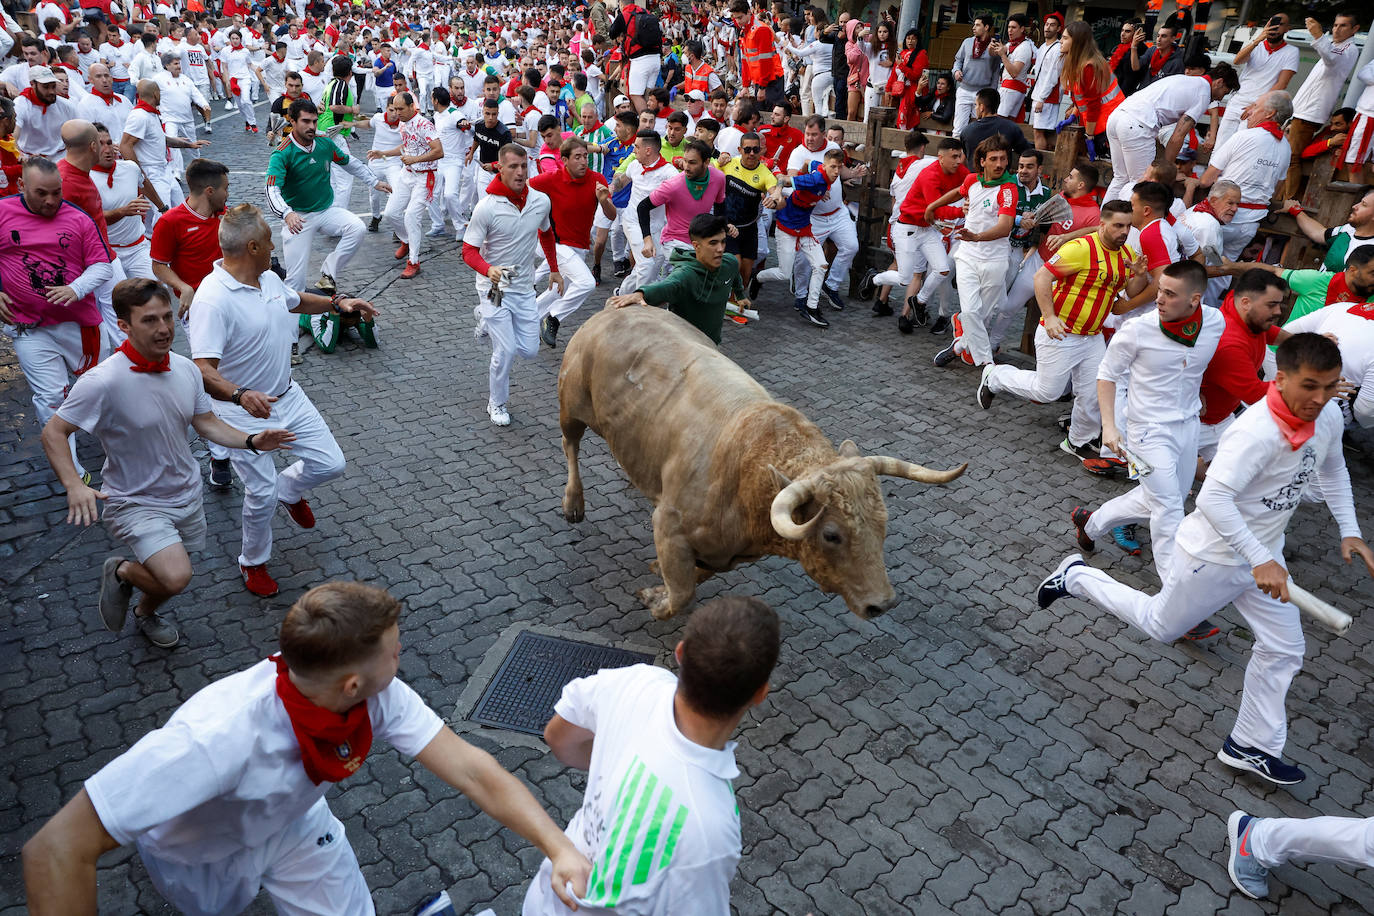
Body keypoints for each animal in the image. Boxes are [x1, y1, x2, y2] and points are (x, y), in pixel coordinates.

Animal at [555, 307, 967, 623]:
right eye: (831, 535)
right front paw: (656, 599)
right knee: (570, 444)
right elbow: (683, 592)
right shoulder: (669, 525)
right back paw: (573, 503)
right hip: (571, 403)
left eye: (883, 524)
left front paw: (659, 577)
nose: (882, 603)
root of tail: (620, 307)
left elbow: (696, 576)